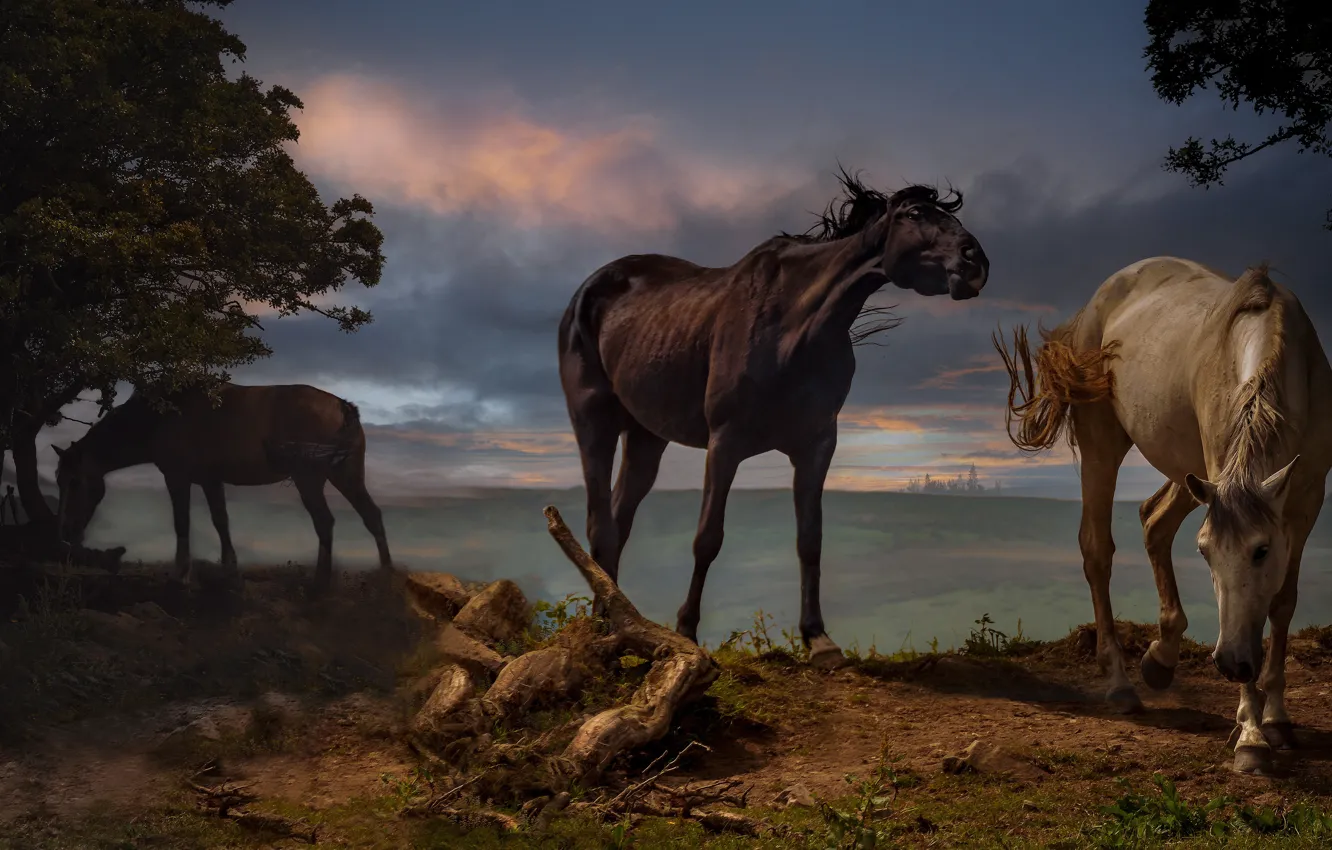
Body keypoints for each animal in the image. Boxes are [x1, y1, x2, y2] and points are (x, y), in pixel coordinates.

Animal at [53, 382, 395, 592]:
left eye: (74, 481)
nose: (66, 531)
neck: (162, 415)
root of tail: (342, 407)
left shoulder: (177, 477)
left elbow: (182, 523)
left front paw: (181, 575)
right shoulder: (209, 480)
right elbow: (221, 521)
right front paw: (231, 572)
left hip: (309, 479)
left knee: (325, 522)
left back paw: (320, 583)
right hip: (345, 475)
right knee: (372, 516)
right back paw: (386, 575)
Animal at [558, 169, 991, 669]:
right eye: (917, 213)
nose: (976, 262)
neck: (793, 325)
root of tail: (588, 290)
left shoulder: (816, 446)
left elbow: (810, 540)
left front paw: (818, 639)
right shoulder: (725, 443)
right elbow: (707, 538)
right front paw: (686, 631)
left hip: (647, 436)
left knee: (619, 518)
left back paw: (614, 621)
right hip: (594, 423)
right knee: (600, 524)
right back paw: (603, 626)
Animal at [995, 257, 1332, 775]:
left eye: (1261, 551)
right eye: (1206, 554)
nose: (1231, 663)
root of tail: (1096, 301)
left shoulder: (1305, 502)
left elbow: (1280, 603)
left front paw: (1276, 718)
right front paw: (1251, 735)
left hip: (1188, 474)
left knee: (1154, 522)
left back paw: (1161, 657)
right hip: (1103, 444)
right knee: (1097, 550)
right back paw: (1120, 682)